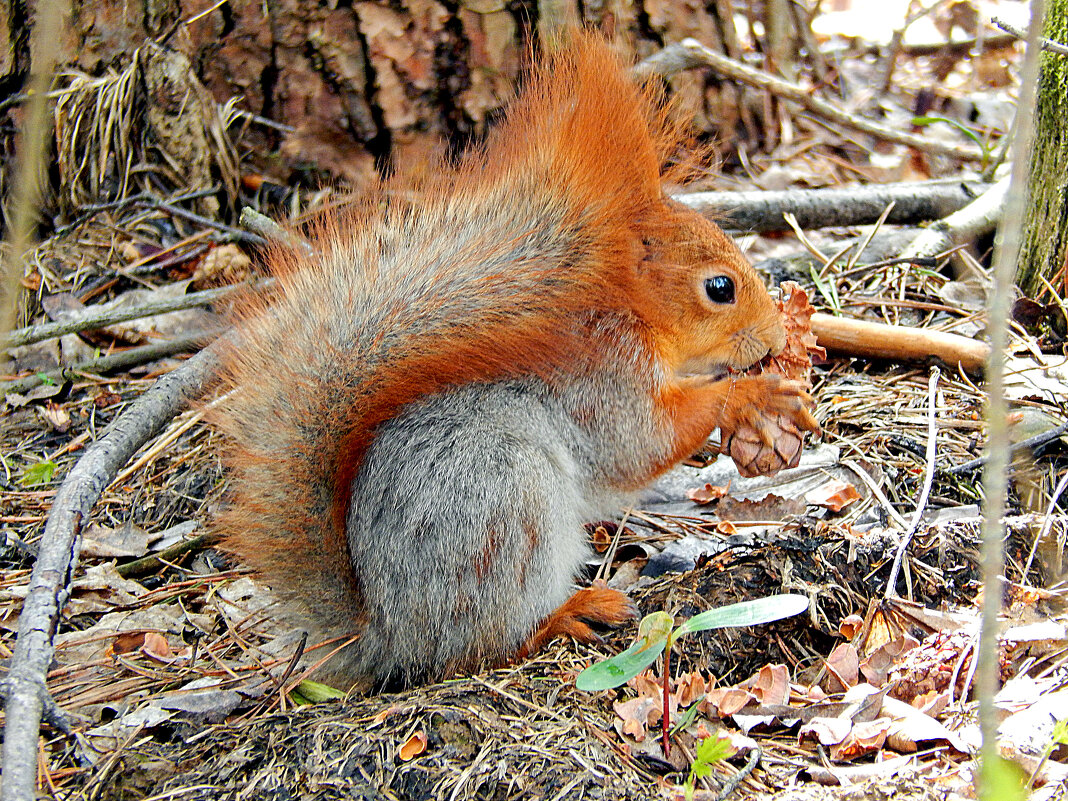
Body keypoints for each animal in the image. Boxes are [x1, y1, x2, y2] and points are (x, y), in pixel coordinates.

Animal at [212, 34, 820, 692]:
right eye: (719, 288)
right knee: (485, 645)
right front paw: (752, 394)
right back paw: (568, 614)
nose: (770, 335)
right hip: (505, 512)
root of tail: (386, 636)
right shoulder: (606, 377)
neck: (631, 314)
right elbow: (641, 442)